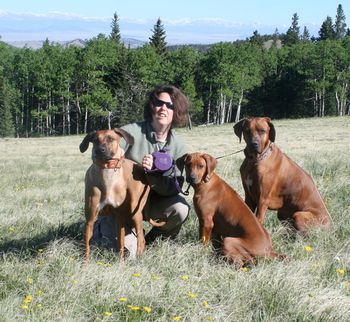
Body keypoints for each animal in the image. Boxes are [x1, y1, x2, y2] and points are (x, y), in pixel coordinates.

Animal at [79, 127, 150, 260]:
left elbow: (121, 244)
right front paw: (85, 263)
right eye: (95, 140)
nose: (100, 150)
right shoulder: (90, 218)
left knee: (141, 238)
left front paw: (121, 262)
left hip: (136, 210)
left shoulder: (119, 218)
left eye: (111, 139)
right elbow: (86, 246)